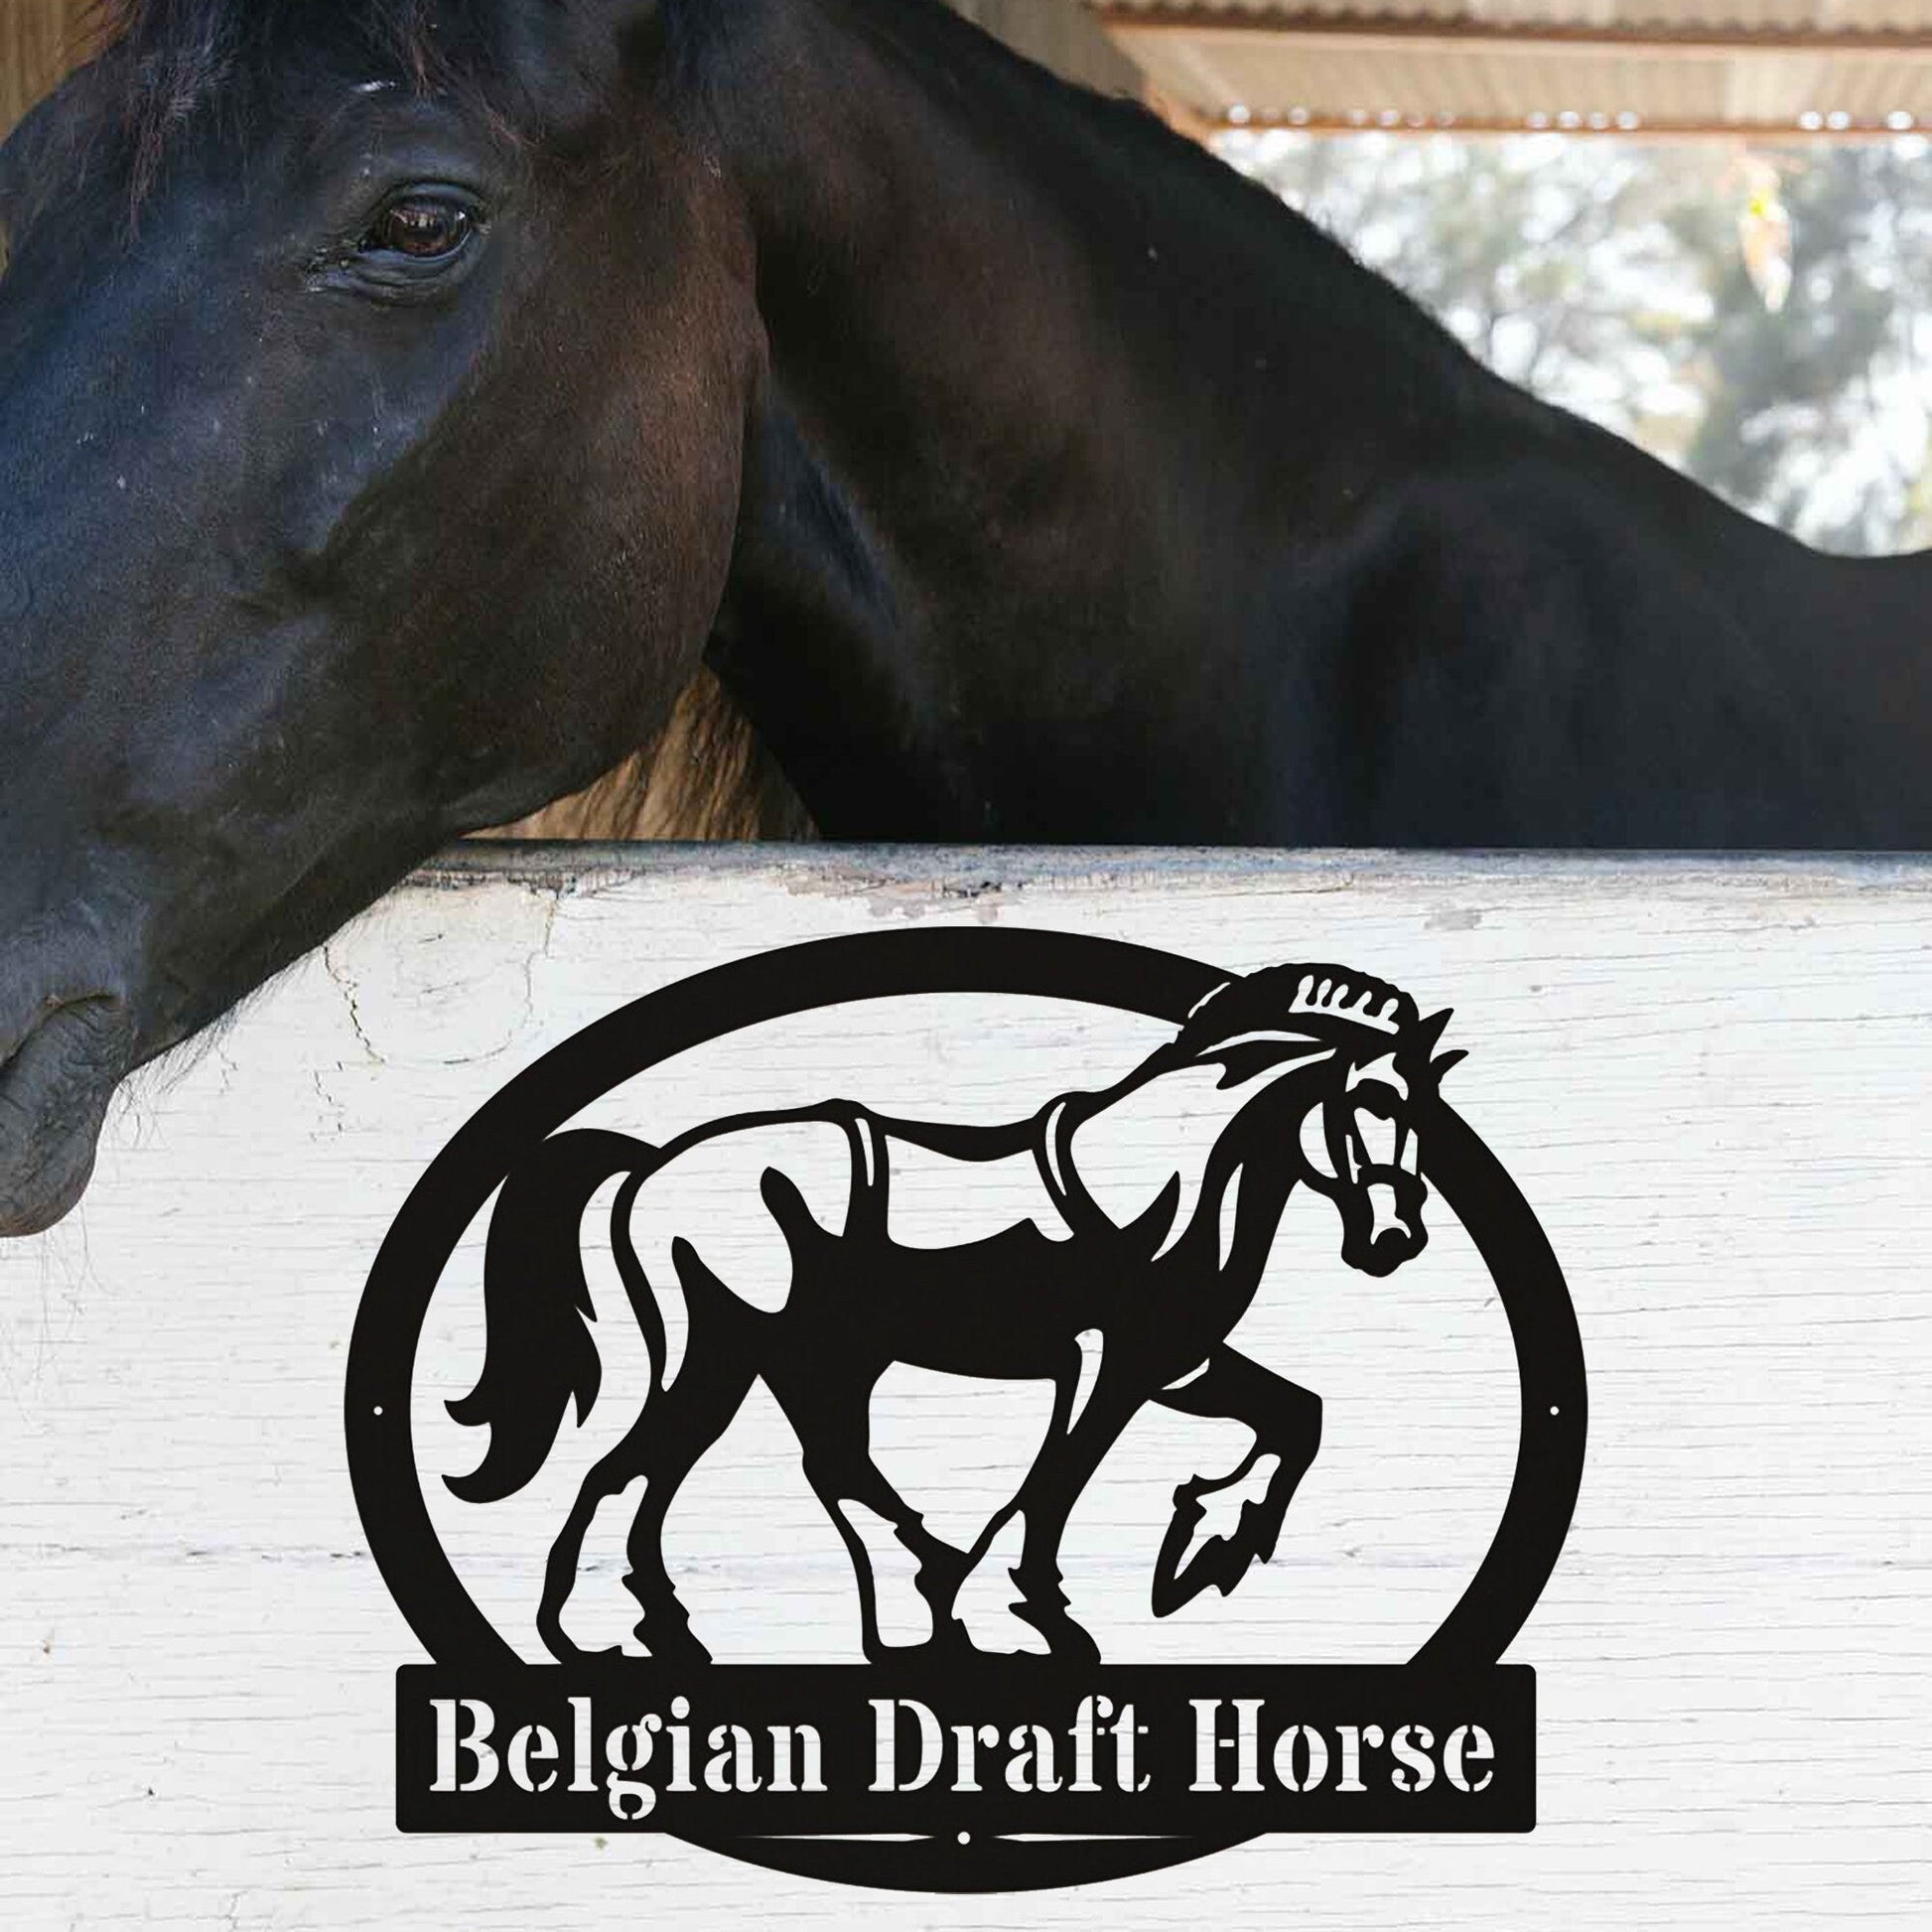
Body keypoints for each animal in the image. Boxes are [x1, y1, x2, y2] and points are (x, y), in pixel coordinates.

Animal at [446, 963, 1459, 1665]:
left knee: (697, 1469)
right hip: (763, 1349)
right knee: (722, 1467)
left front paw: (1206, 1543)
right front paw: (1034, 1617)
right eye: (1371, 1100)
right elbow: (1053, 1482)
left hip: (765, 1357)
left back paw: (675, 1623)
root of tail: (649, 1165)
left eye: (1423, 1113)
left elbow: (1296, 1417)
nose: (1395, 1239)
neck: (1171, 1181)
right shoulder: (1104, 1364)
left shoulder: (1174, 1362)